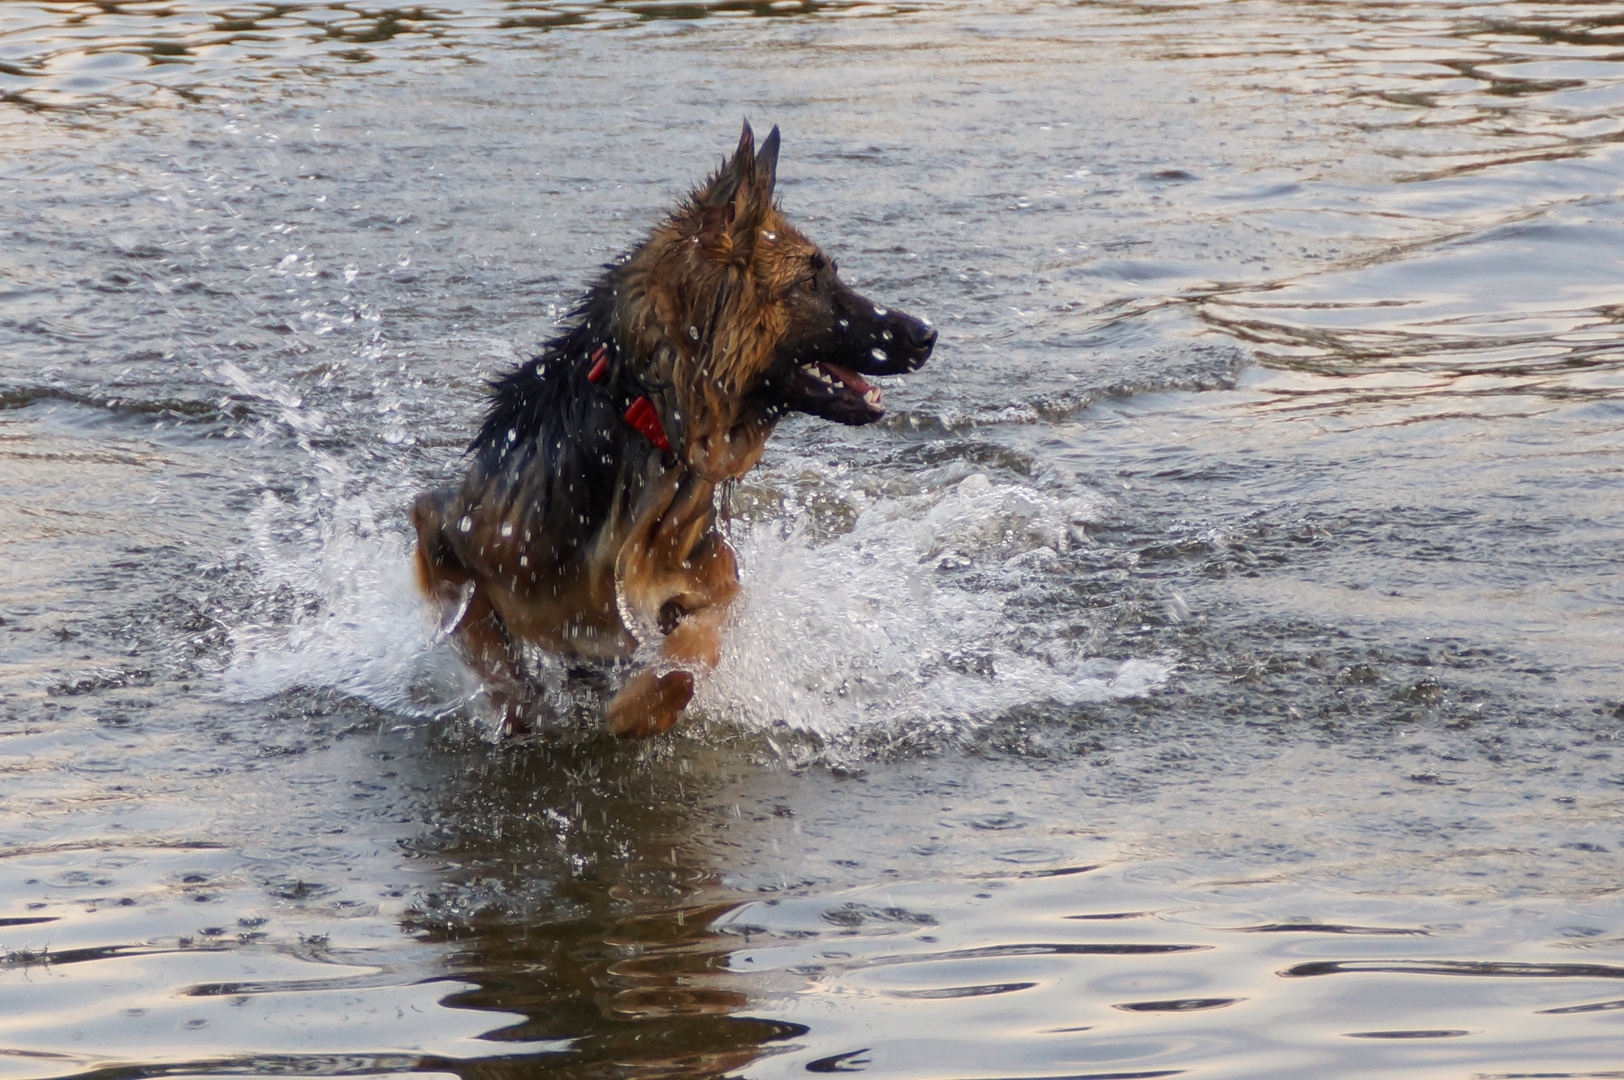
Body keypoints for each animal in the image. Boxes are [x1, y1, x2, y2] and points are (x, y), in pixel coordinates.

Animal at [412, 121, 935, 737]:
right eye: (810, 281)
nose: (927, 334)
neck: (650, 414)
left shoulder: (713, 581)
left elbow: (689, 656)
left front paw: (636, 707)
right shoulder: (442, 528)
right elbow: (489, 647)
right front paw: (524, 705)